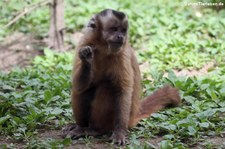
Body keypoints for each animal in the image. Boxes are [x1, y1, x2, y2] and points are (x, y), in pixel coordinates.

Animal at [62, 8, 181, 145]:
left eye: (123, 30)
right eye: (114, 29)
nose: (121, 36)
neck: (103, 48)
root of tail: (133, 116)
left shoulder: (122, 54)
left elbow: (123, 91)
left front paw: (119, 132)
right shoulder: (84, 42)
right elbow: (78, 85)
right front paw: (87, 60)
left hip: (114, 120)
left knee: (107, 87)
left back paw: (94, 130)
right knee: (83, 90)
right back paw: (80, 126)